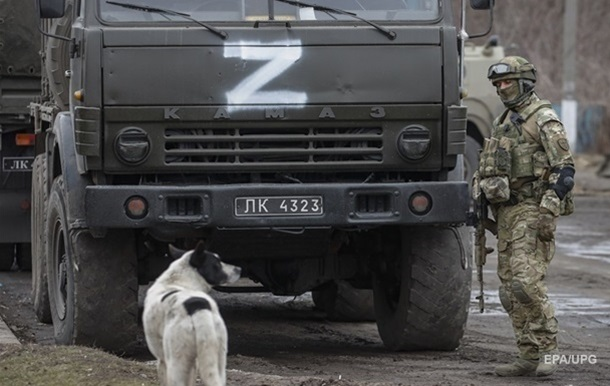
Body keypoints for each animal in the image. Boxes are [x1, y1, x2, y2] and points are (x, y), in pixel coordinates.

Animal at [142, 241, 240, 386]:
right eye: (217, 263)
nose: (240, 269)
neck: (177, 280)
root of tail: (198, 308)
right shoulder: (194, 364)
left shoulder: (162, 360)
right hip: (219, 360)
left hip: (176, 363)